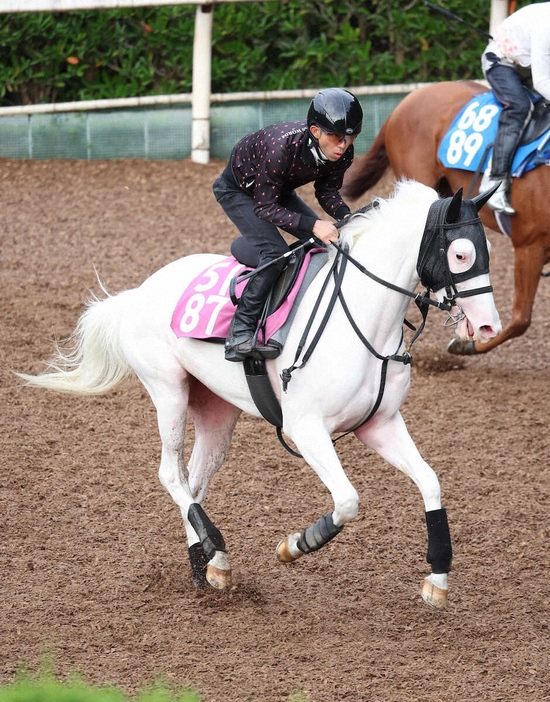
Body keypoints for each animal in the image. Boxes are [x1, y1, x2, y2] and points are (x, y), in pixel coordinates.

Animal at [18, 180, 504, 612]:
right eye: (460, 254)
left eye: (488, 253)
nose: (487, 327)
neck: (363, 323)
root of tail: (138, 292)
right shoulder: (306, 429)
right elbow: (348, 500)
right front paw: (297, 544)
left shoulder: (379, 425)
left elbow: (430, 481)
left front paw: (437, 579)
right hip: (167, 390)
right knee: (171, 474)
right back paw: (215, 549)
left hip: (216, 410)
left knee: (195, 482)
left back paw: (209, 565)